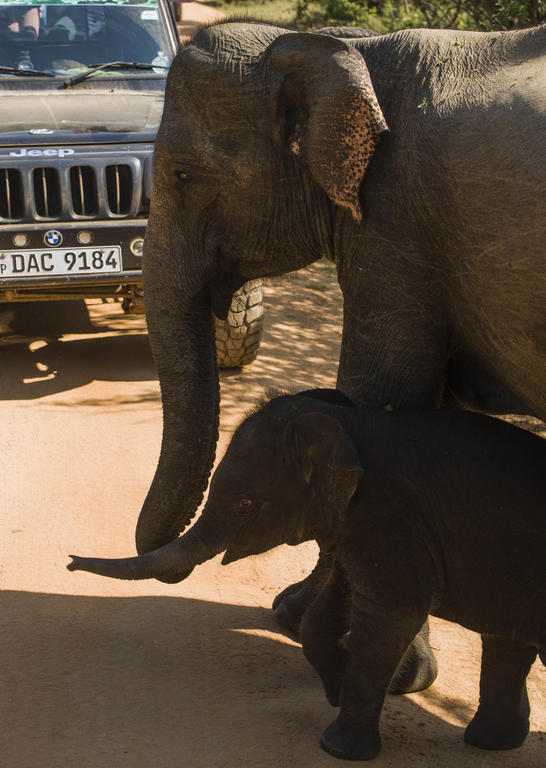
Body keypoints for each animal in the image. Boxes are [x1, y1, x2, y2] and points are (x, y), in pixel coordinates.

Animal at [68, 389, 546, 761]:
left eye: (245, 505)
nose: (69, 561)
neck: (347, 422)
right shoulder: (359, 522)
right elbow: (338, 598)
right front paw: (334, 690)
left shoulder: (389, 515)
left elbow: (393, 611)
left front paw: (337, 748)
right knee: (507, 643)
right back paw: (489, 742)